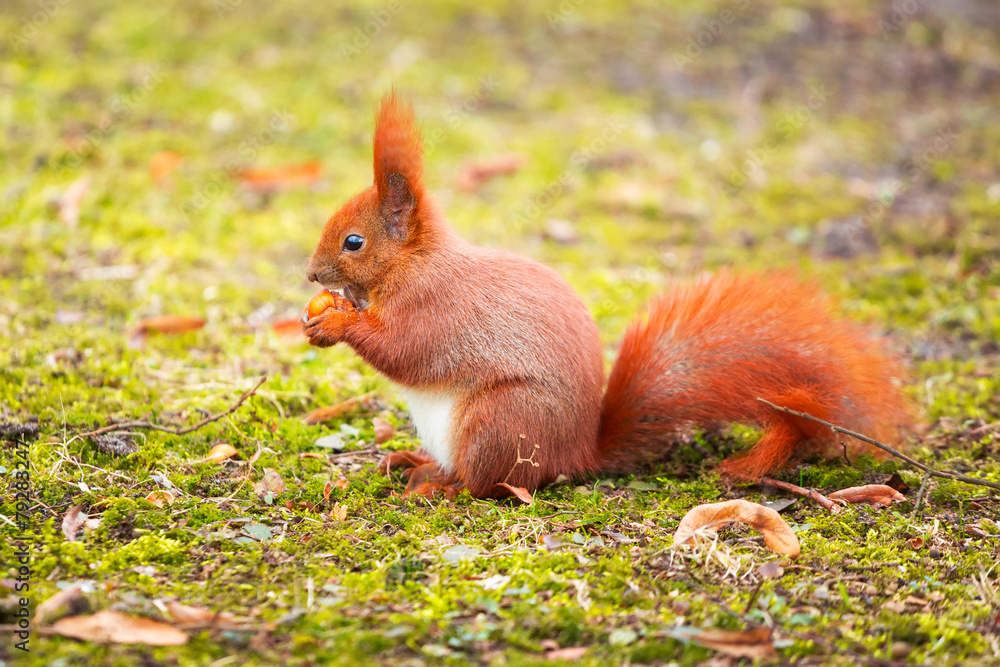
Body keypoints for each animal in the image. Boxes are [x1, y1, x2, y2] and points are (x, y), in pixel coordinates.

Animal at [302, 92, 916, 500]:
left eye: (354, 241)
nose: (311, 275)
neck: (411, 264)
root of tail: (577, 454)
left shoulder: (437, 308)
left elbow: (406, 350)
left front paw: (336, 325)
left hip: (498, 421)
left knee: (492, 485)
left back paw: (441, 489)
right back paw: (418, 465)